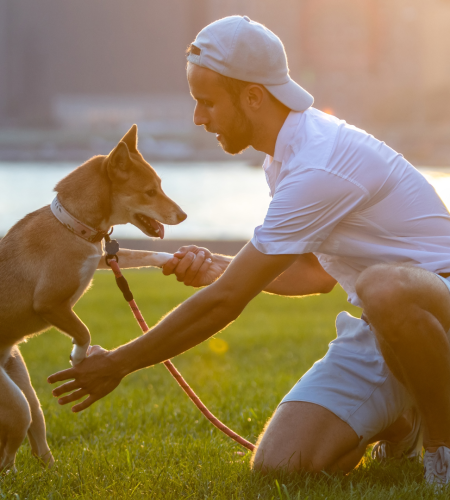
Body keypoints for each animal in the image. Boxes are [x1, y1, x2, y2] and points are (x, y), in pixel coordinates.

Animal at [0, 124, 186, 468]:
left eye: (159, 187)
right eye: (150, 192)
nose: (183, 215)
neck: (73, 225)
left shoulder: (102, 256)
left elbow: (142, 254)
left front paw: (175, 260)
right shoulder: (49, 303)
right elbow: (83, 330)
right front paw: (79, 357)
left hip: (22, 383)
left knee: (35, 433)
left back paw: (52, 473)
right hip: (13, 403)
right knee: (13, 437)